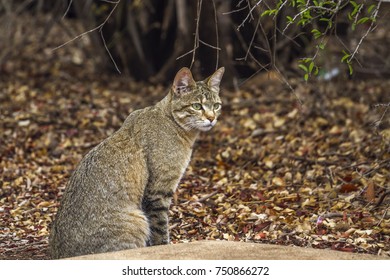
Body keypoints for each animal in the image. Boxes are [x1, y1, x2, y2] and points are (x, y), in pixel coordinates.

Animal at [49, 66, 225, 260]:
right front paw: (164, 247)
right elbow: (160, 230)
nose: (212, 118)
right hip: (137, 220)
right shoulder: (158, 191)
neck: (174, 124)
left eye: (216, 106)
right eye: (197, 106)